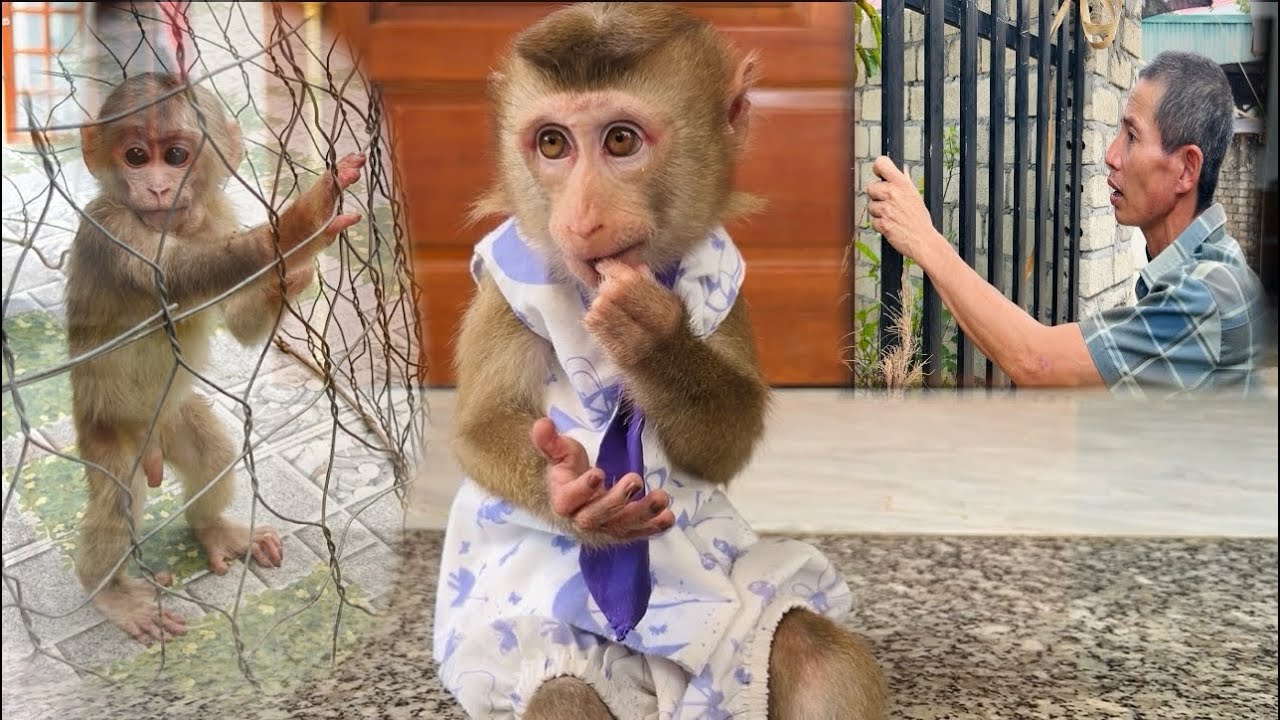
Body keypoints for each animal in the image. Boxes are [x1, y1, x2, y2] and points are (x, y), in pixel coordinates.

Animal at [64, 72, 365, 644]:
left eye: (176, 155)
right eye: (136, 155)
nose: (158, 187)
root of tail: (152, 449)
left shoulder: (218, 217)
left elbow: (242, 325)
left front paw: (291, 276)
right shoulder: (111, 232)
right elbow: (178, 273)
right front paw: (308, 215)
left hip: (174, 418)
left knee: (212, 454)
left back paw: (214, 531)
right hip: (105, 433)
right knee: (117, 500)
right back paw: (108, 591)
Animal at [432, 4, 889, 719]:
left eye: (620, 141)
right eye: (553, 144)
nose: (582, 220)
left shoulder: (725, 280)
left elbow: (720, 448)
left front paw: (652, 340)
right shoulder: (503, 291)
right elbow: (480, 427)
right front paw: (570, 493)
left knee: (806, 644)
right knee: (561, 687)